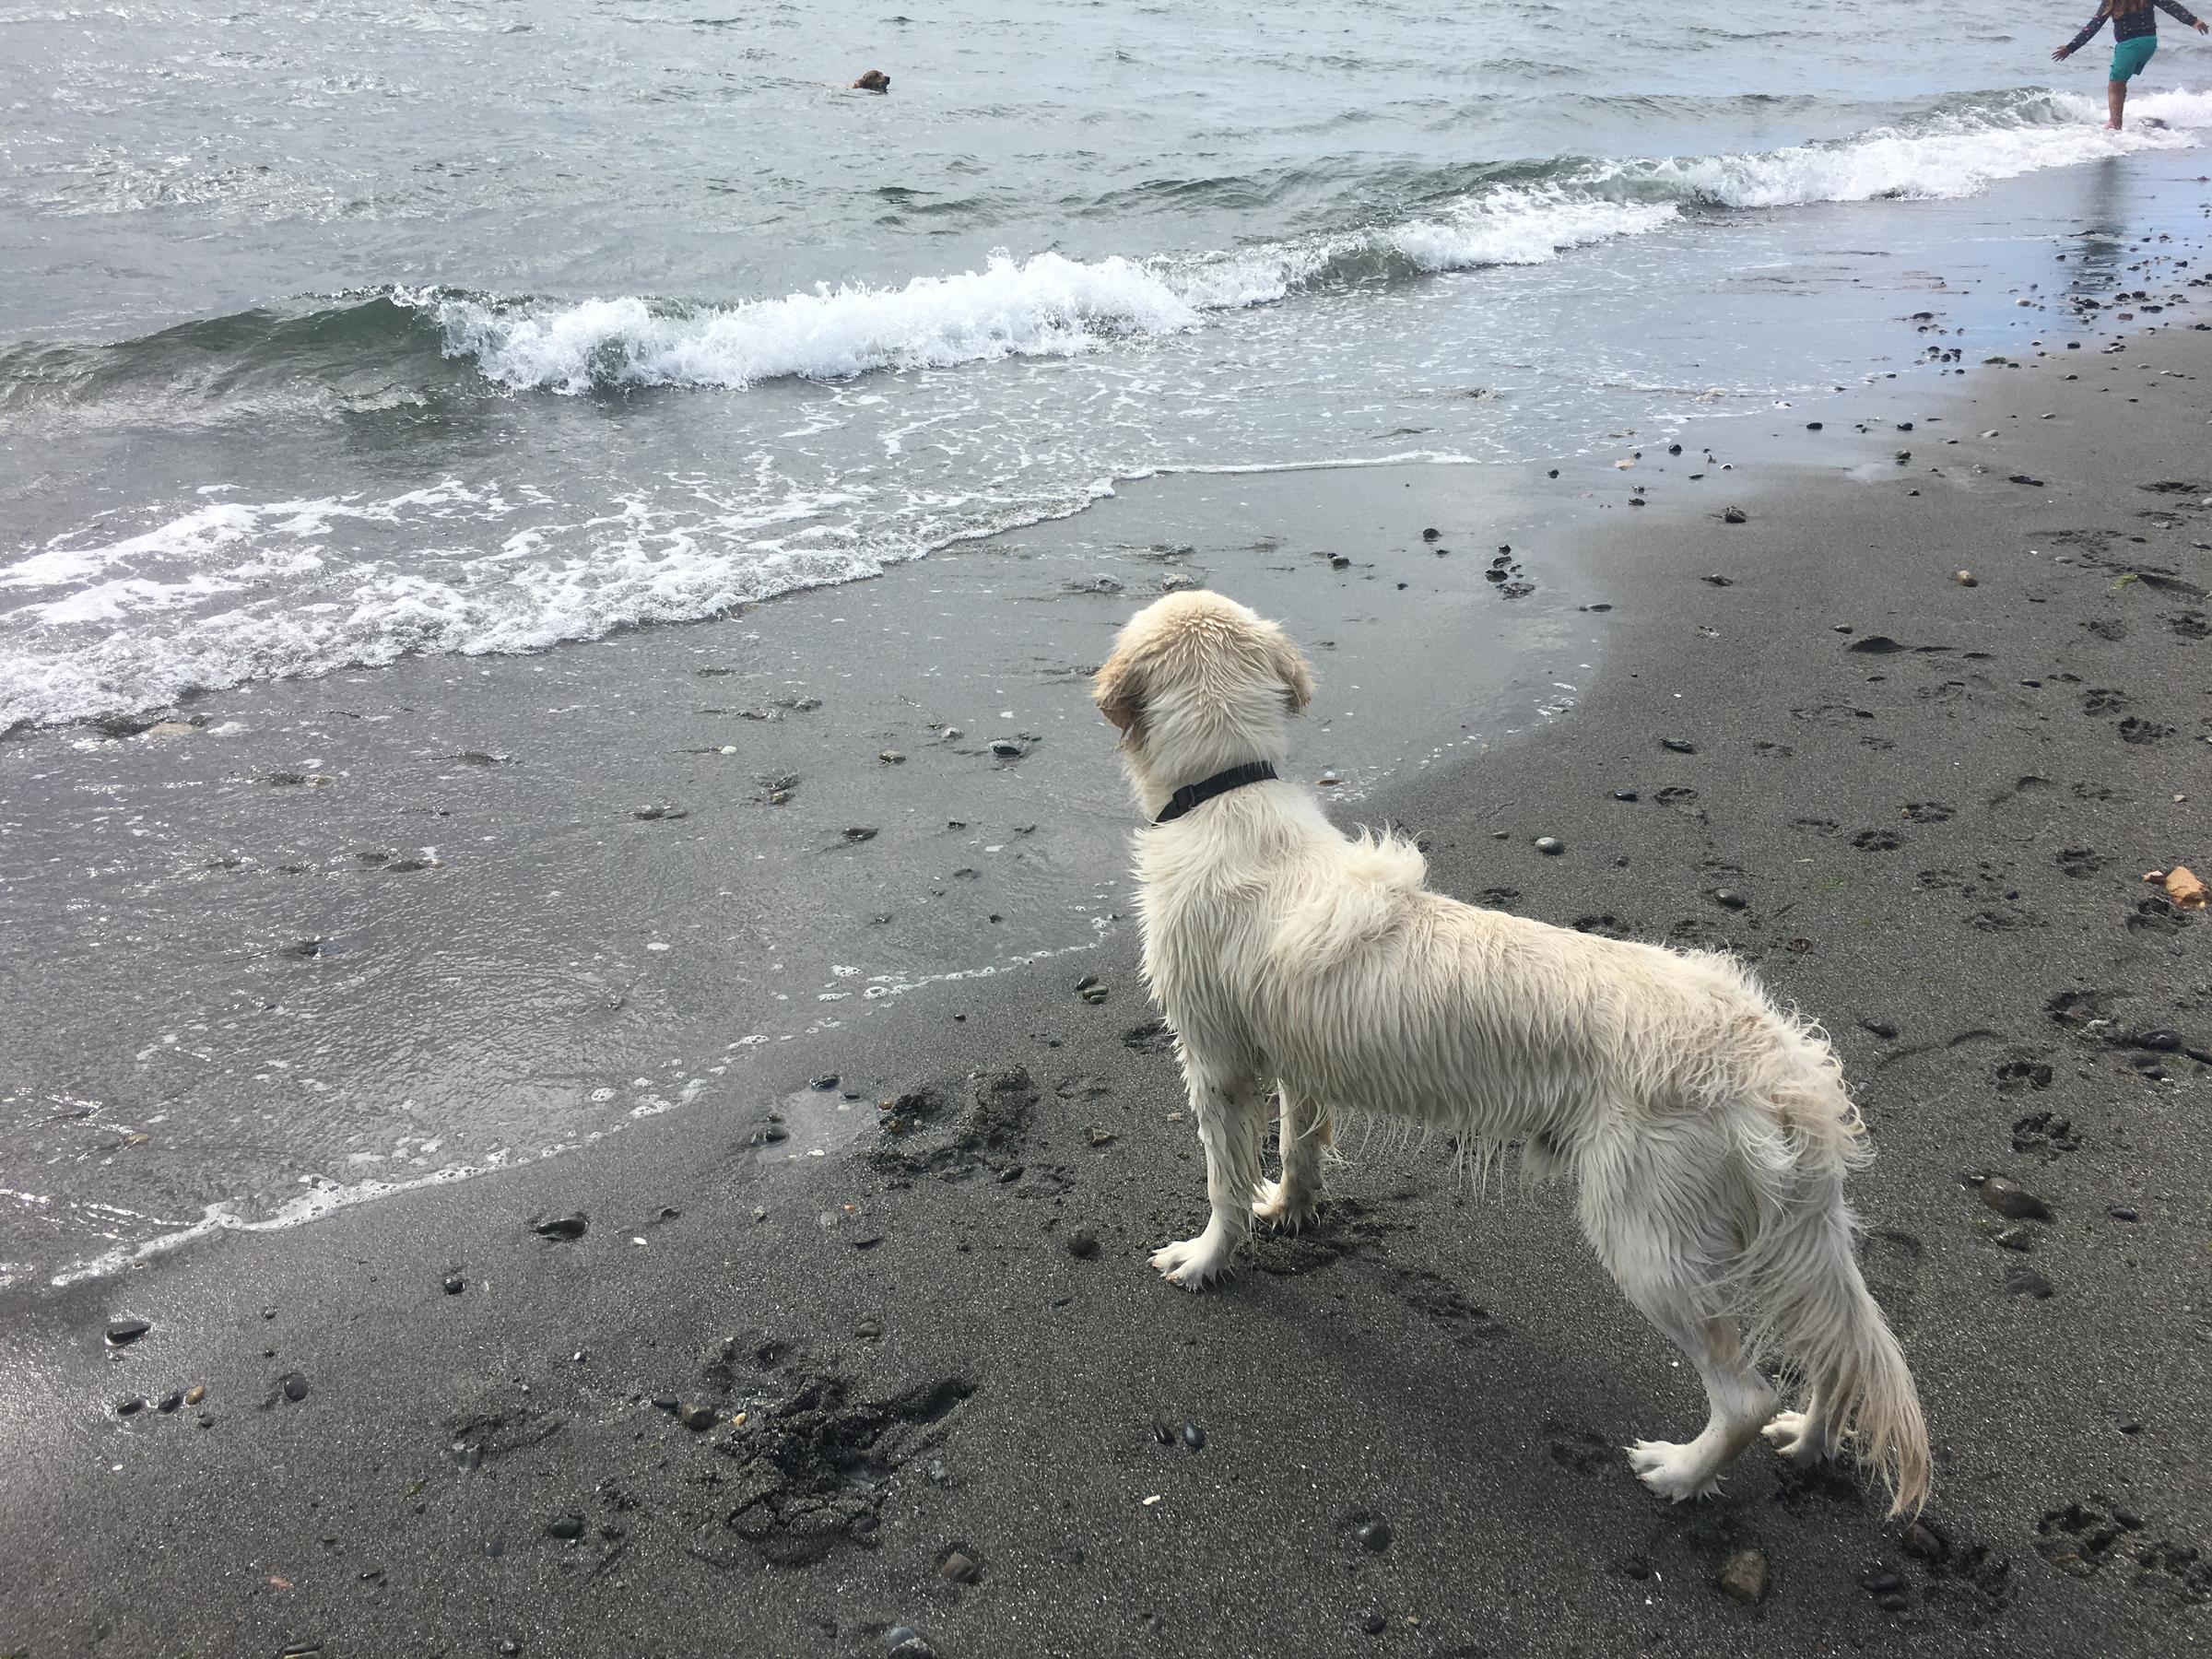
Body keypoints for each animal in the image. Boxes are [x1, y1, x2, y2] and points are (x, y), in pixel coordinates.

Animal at [1097, 588, 1928, 1522]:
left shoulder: (1215, 1064)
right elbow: (1300, 1147)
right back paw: (1809, 1442)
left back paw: (1678, 1472)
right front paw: (1290, 1206)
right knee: (1835, 1352)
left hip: (1645, 1231)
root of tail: (1778, 1064)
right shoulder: (1295, 1058)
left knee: (1747, 1392)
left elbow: (1222, 1185)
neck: (1224, 792)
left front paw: (1204, 1259)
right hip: (1784, 1229)